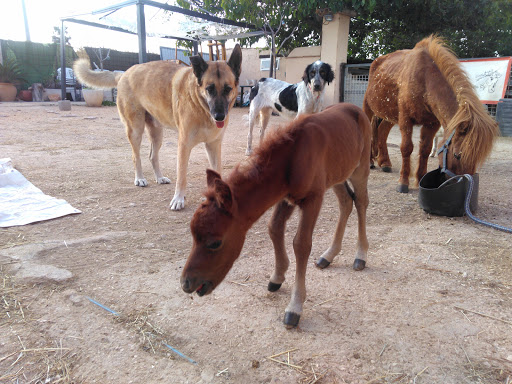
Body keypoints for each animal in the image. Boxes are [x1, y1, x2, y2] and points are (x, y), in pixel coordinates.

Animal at [74, 47, 244, 213]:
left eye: (228, 89)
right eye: (209, 89)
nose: (219, 116)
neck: (201, 106)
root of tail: (124, 73)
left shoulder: (213, 145)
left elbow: (217, 172)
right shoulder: (184, 146)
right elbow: (181, 176)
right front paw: (178, 199)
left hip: (157, 134)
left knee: (152, 156)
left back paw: (160, 178)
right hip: (135, 130)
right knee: (136, 157)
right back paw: (139, 178)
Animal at [182, 103, 370, 328]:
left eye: (214, 243)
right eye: (193, 237)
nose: (186, 283)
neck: (292, 157)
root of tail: (356, 109)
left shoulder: (313, 199)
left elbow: (301, 244)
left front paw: (295, 307)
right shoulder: (286, 197)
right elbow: (274, 228)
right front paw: (277, 277)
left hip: (360, 169)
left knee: (361, 202)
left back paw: (360, 256)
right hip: (338, 175)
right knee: (346, 202)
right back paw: (328, 255)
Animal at [362, 35, 498, 192]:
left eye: (477, 158)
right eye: (457, 155)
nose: (461, 183)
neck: (425, 80)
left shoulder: (431, 124)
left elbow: (425, 149)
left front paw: (420, 178)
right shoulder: (405, 120)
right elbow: (406, 148)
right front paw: (403, 182)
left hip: (390, 115)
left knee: (383, 131)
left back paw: (385, 162)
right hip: (368, 109)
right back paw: (370, 162)